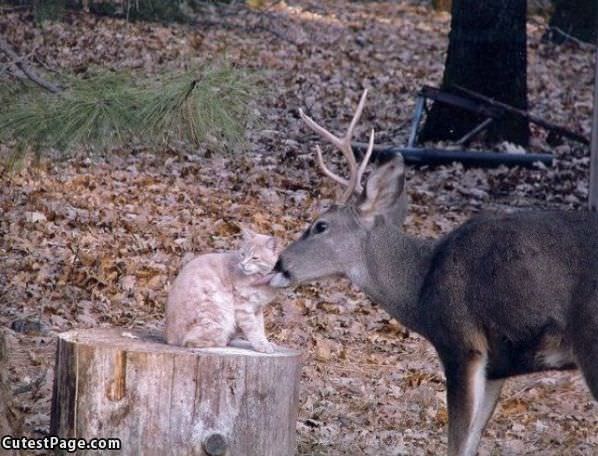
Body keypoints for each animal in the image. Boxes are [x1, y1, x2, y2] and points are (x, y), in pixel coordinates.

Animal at [270, 90, 598, 456]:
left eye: (320, 225)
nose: (279, 264)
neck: (421, 285)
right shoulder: (498, 365)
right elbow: (471, 442)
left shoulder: (461, 344)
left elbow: (457, 442)